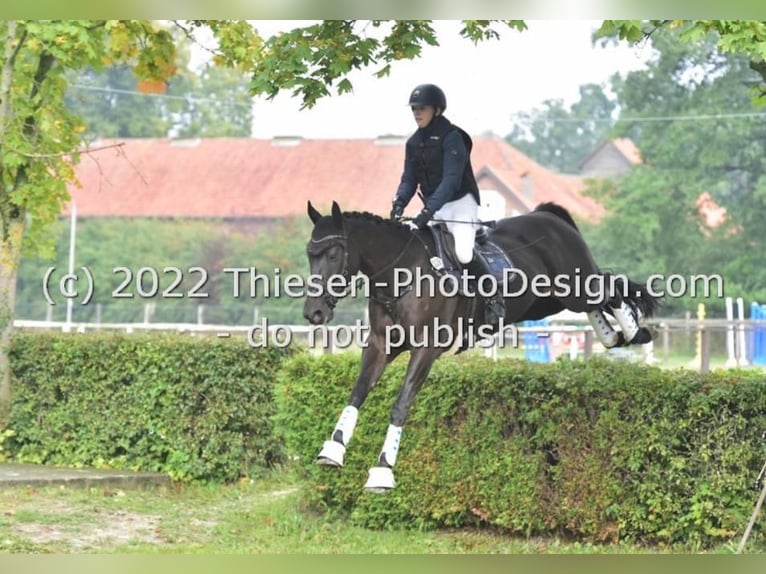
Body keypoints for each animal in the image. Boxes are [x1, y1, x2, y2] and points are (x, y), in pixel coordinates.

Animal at [304, 200, 664, 492]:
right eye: (310, 254)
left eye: (333, 254)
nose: (313, 313)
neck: (402, 275)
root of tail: (549, 216)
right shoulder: (381, 347)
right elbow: (357, 393)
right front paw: (332, 450)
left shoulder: (425, 350)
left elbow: (400, 405)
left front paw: (382, 471)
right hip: (547, 302)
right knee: (603, 297)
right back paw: (615, 337)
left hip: (575, 288)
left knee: (610, 288)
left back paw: (636, 332)